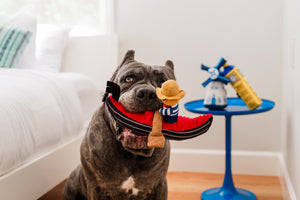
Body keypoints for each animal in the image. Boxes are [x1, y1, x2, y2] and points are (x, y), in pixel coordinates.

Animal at [63, 49, 176, 199]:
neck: (132, 154)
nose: (147, 93)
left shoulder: (159, 185)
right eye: (128, 79)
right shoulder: (96, 187)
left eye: (164, 84)